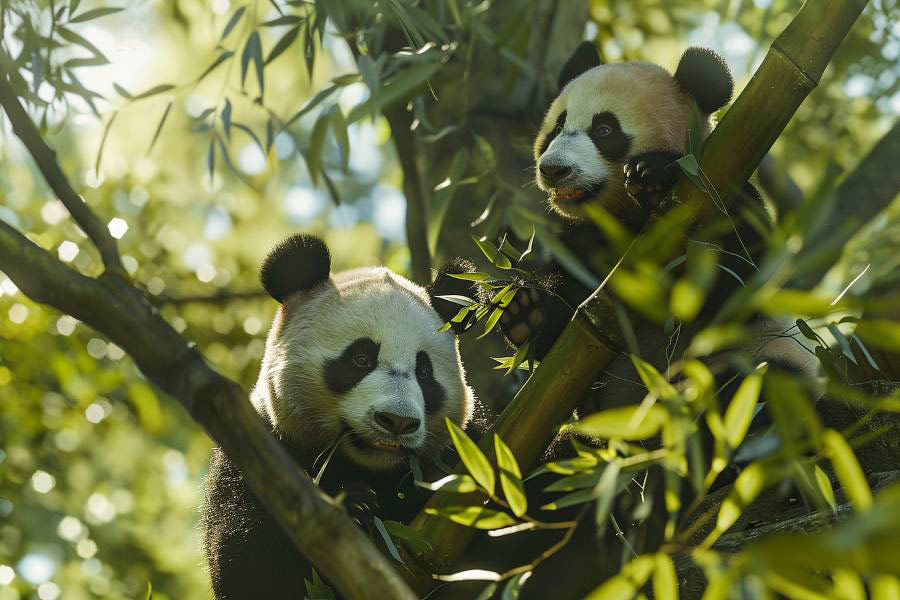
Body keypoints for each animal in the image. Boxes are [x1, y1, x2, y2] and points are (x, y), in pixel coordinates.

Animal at [203, 234, 481, 600]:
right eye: (361, 358)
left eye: (424, 372)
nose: (397, 421)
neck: (367, 467)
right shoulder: (254, 456)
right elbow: (253, 564)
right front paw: (356, 507)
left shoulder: (470, 446)